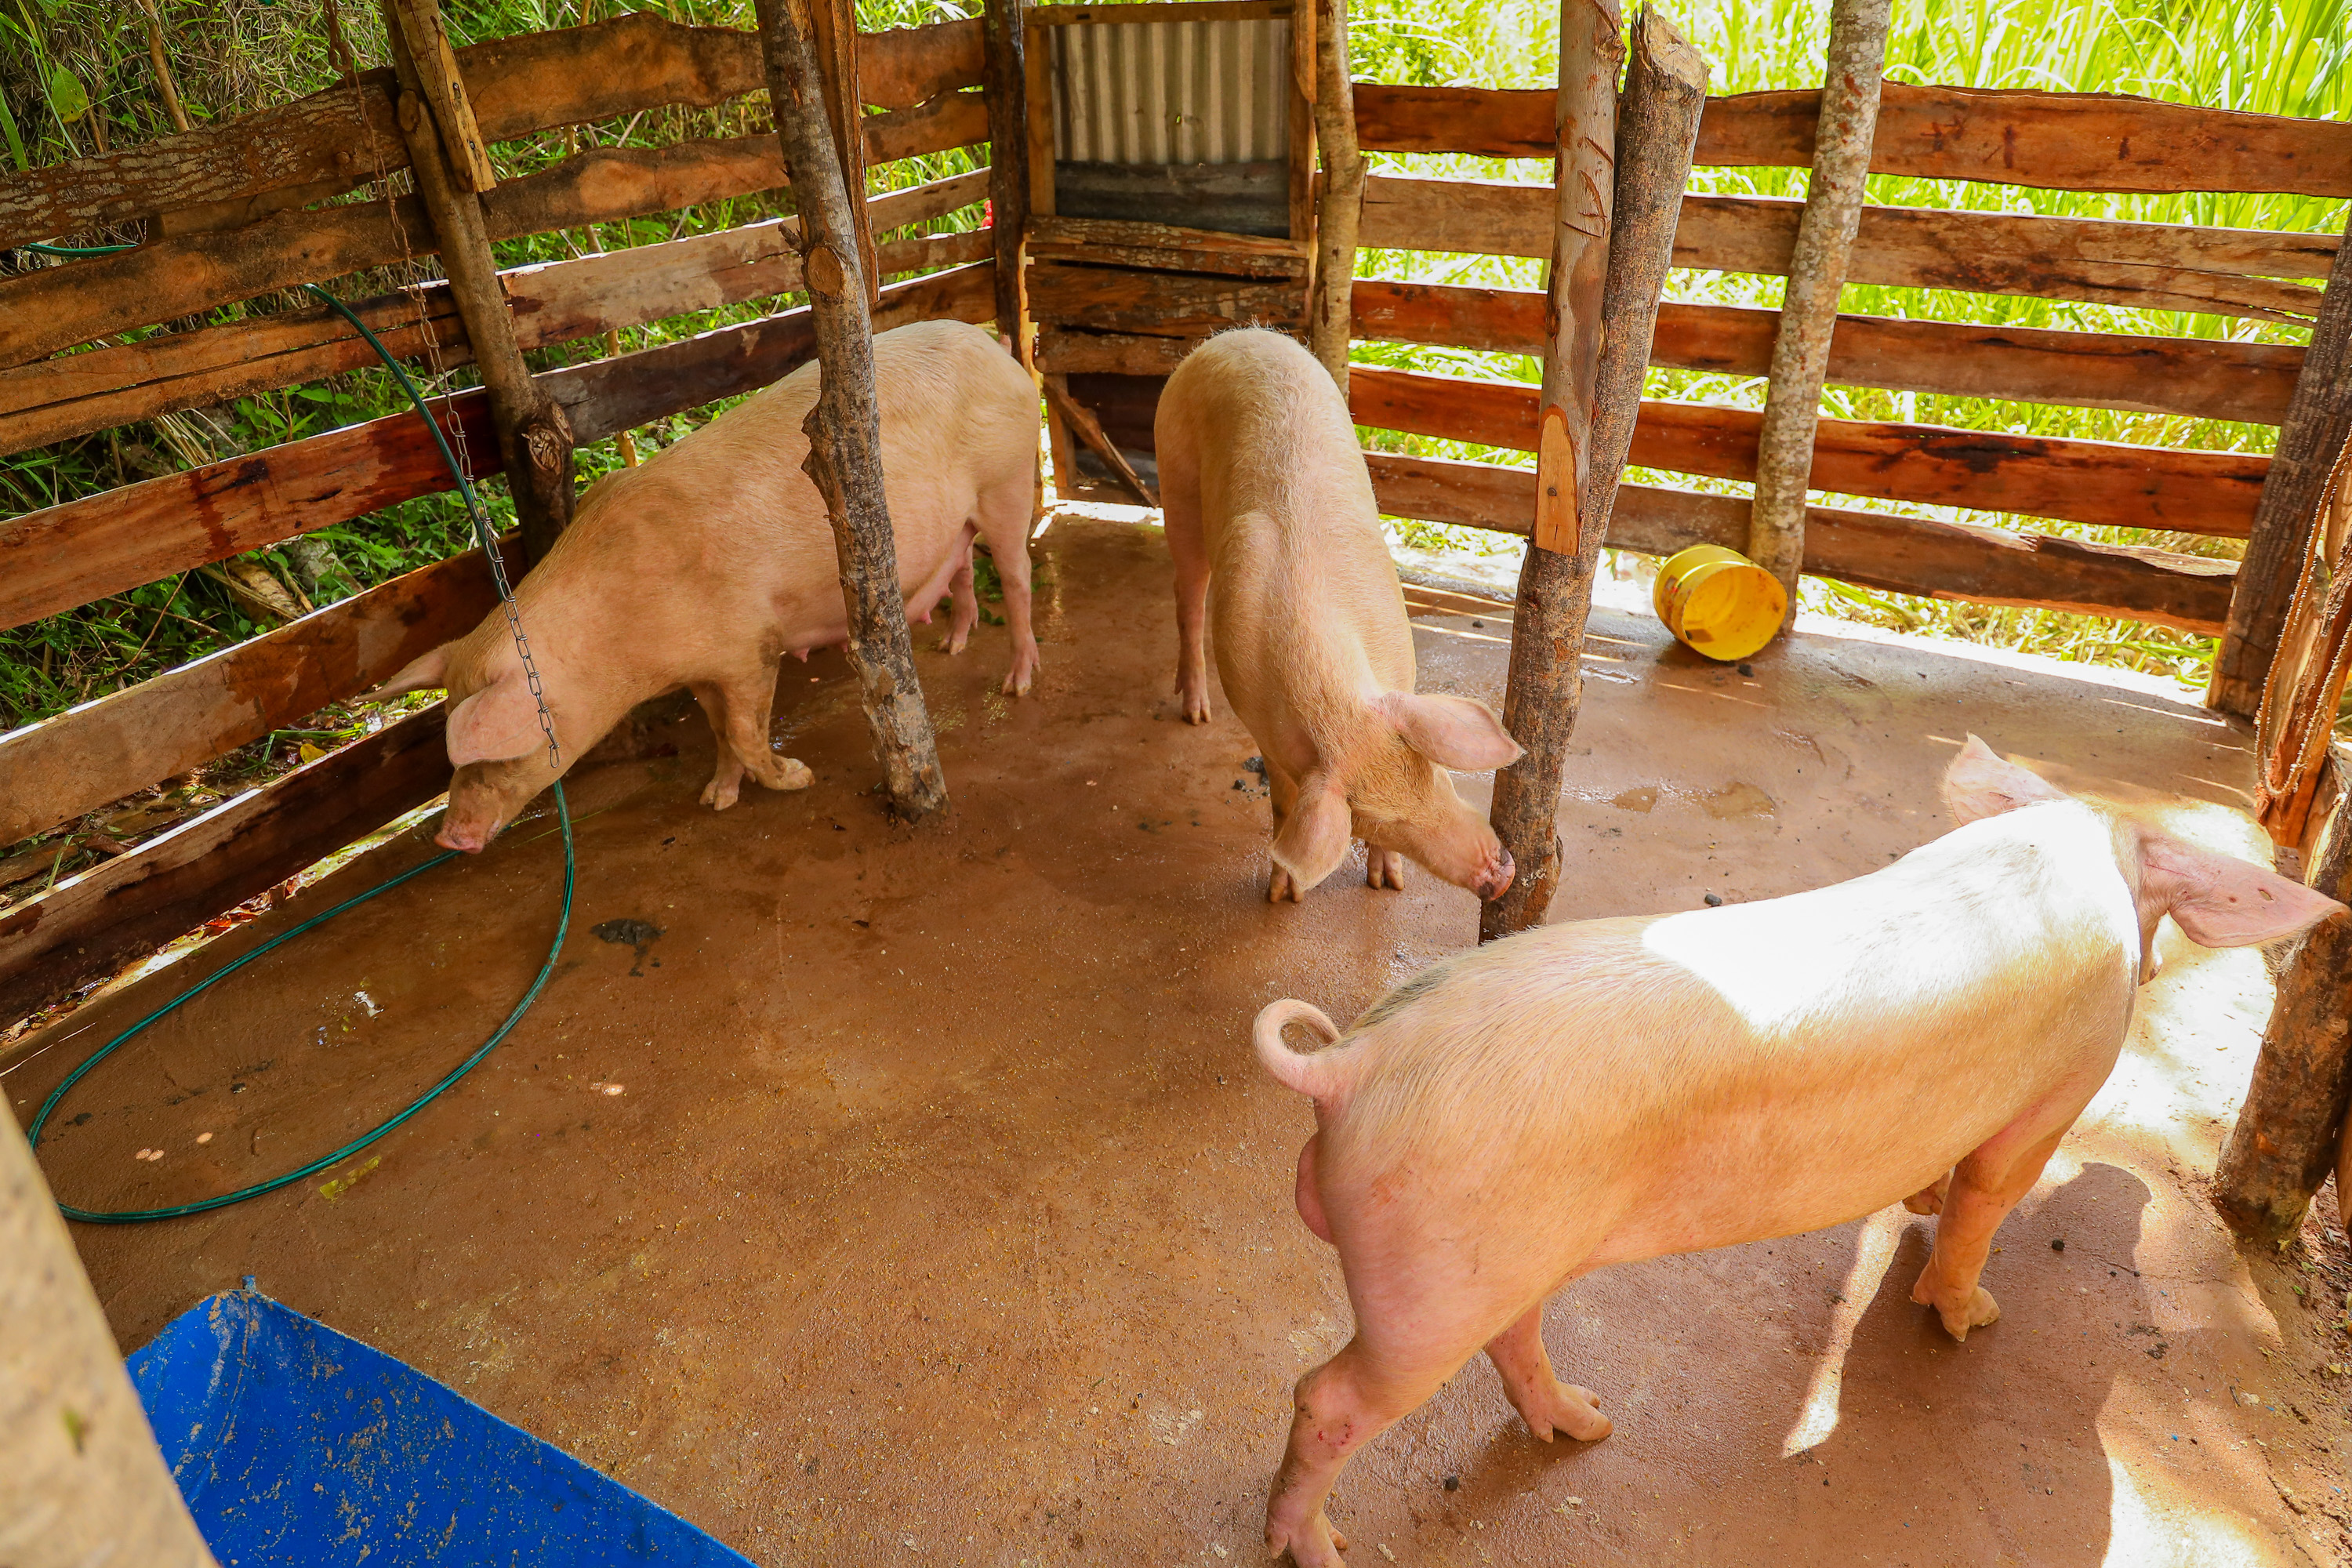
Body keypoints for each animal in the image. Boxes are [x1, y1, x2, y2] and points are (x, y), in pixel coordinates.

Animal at [373, 319, 1041, 851]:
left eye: (499, 752)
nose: (449, 837)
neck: (626, 636)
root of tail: (997, 348)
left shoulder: (751, 645)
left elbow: (746, 731)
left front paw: (796, 777)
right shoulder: (700, 668)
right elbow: (720, 730)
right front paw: (715, 799)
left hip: (1009, 478)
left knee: (1017, 577)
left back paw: (1018, 685)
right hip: (959, 521)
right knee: (963, 566)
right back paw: (952, 645)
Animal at [1153, 329, 1521, 903]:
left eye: (1438, 775)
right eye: (1380, 822)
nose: (1501, 877)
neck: (1333, 701)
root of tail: (1235, 335)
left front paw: (1389, 886)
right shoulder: (1262, 728)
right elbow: (1283, 804)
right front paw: (1284, 897)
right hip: (1175, 479)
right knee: (1187, 594)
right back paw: (1196, 714)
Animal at [1249, 736, 2345, 1566]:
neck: (2067, 853)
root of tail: (1352, 1062)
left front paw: (1922, 1206)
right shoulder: (2057, 1095)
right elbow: (1988, 1200)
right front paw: (1975, 1317)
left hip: (1502, 1255)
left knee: (1511, 1335)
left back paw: (1591, 1420)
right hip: (1425, 1283)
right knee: (1326, 1395)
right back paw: (1318, 1547)